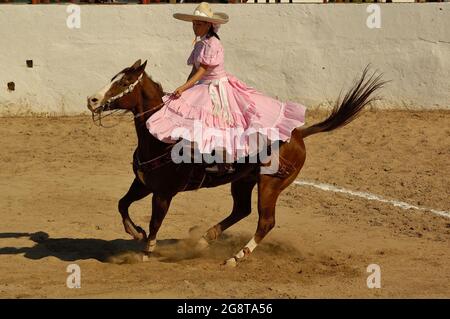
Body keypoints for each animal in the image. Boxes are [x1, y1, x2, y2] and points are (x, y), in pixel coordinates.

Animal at [87, 60, 384, 268]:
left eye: (124, 81)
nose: (92, 100)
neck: (160, 137)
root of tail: (298, 133)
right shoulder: (143, 183)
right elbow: (122, 204)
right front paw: (134, 233)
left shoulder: (163, 193)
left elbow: (155, 223)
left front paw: (146, 253)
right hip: (242, 181)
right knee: (242, 209)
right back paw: (204, 239)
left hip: (270, 184)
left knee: (265, 221)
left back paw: (235, 257)